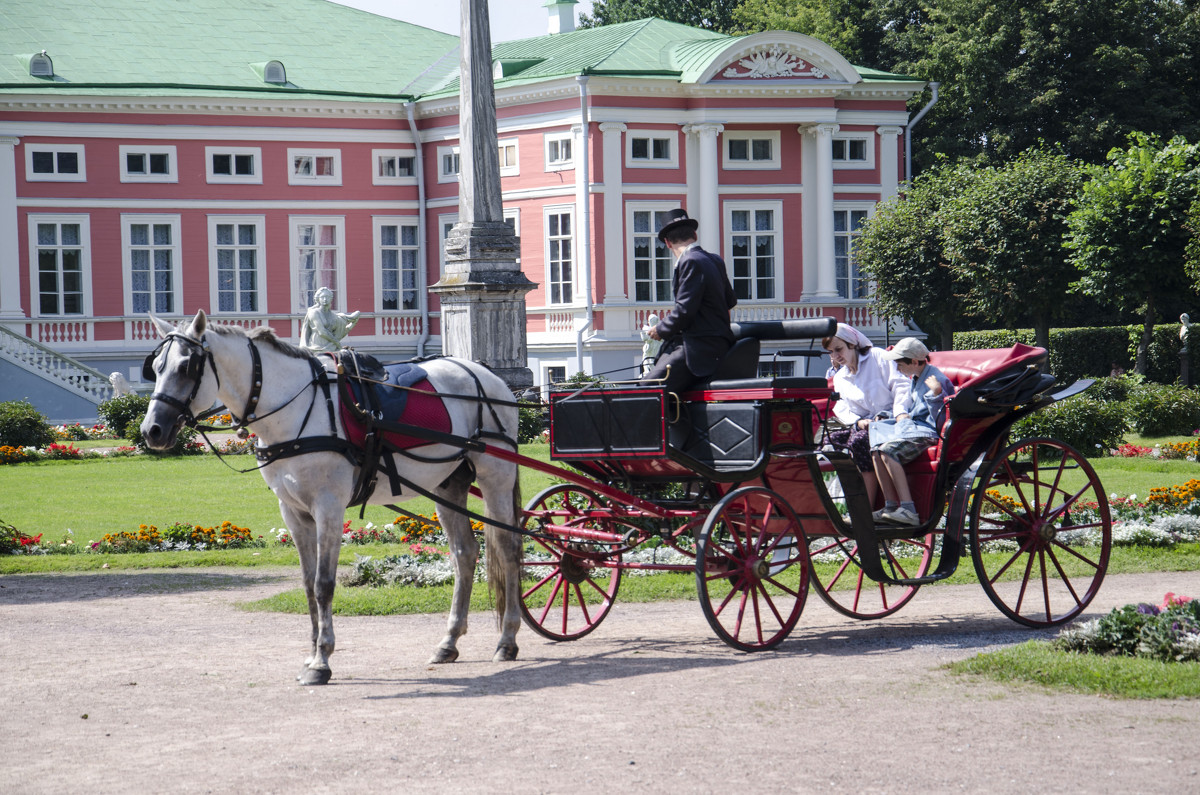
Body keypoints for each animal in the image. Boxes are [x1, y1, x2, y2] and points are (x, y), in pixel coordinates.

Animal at [138, 312, 523, 686]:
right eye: (155, 367)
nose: (151, 430)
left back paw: (507, 639)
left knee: (508, 549)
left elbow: (324, 584)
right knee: (465, 553)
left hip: (496, 478)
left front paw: (322, 661)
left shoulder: (329, 507)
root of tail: (485, 372)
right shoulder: (293, 512)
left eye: (186, 367)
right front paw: (311, 655)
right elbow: (309, 586)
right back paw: (449, 641)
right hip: (447, 485)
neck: (292, 408)